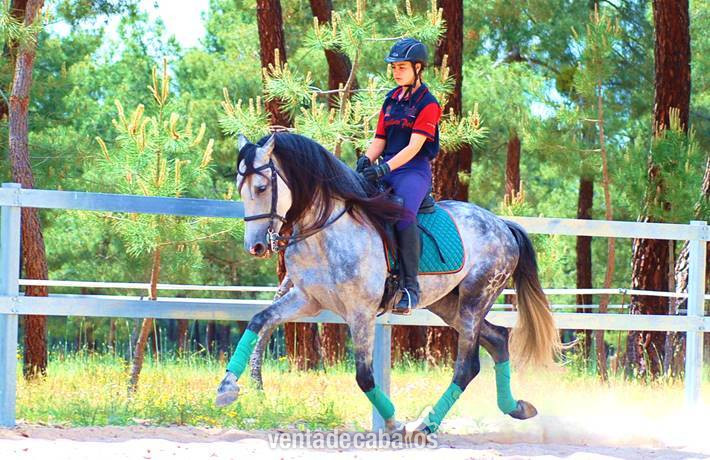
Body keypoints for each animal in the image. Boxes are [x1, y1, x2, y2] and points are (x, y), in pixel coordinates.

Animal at [215, 132, 560, 435]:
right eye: (239, 188)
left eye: (262, 187)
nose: (256, 246)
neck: (326, 231)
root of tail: (502, 224)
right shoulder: (306, 300)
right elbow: (259, 320)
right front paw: (227, 387)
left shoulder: (361, 313)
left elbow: (365, 377)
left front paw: (395, 425)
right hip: (448, 305)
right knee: (498, 340)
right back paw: (516, 407)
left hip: (475, 300)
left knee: (467, 366)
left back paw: (425, 425)